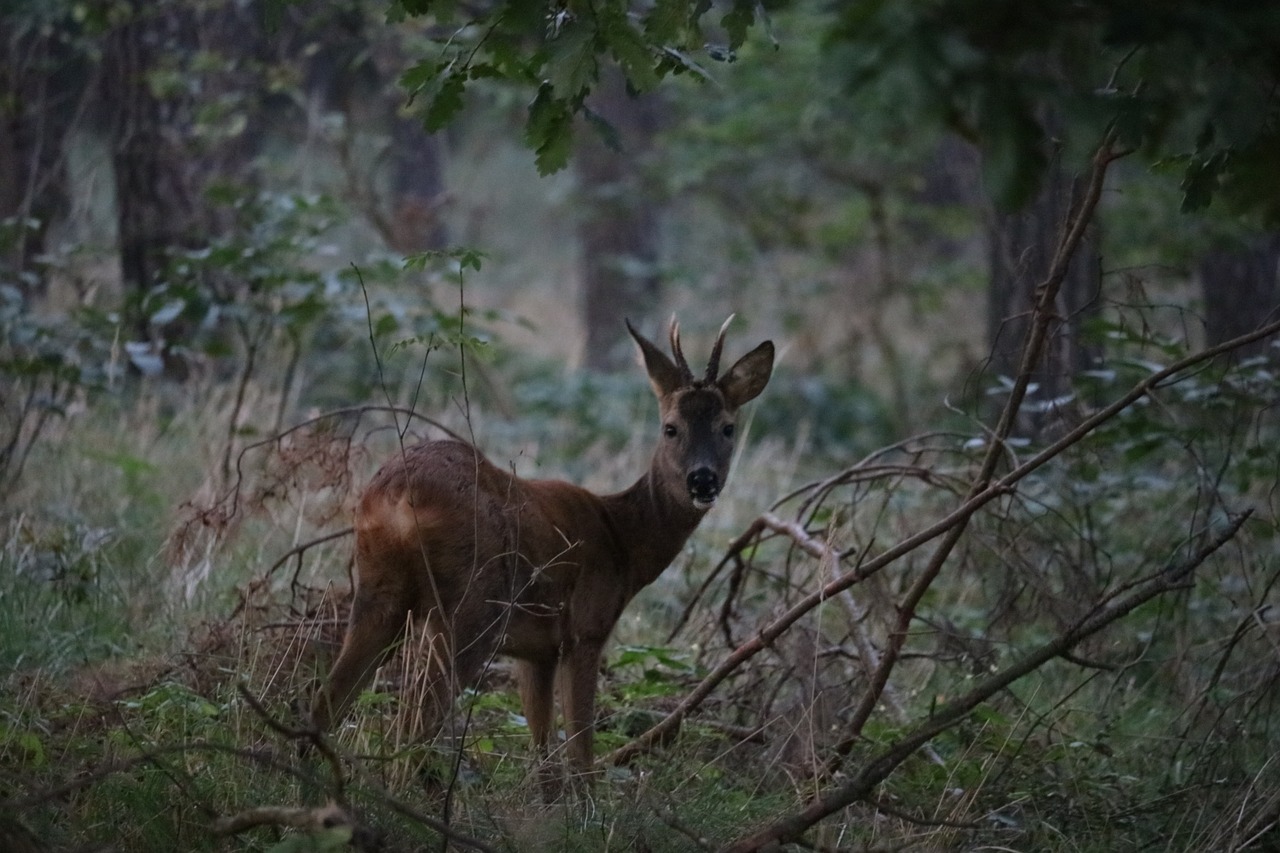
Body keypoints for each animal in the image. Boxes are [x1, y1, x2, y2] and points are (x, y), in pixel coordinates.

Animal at [309, 317, 768, 778]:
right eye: (670, 428)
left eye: (728, 428)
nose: (703, 480)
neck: (622, 542)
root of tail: (397, 493)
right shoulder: (585, 629)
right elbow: (580, 752)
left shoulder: (536, 652)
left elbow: (543, 753)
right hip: (469, 606)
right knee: (414, 721)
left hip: (378, 588)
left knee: (327, 703)